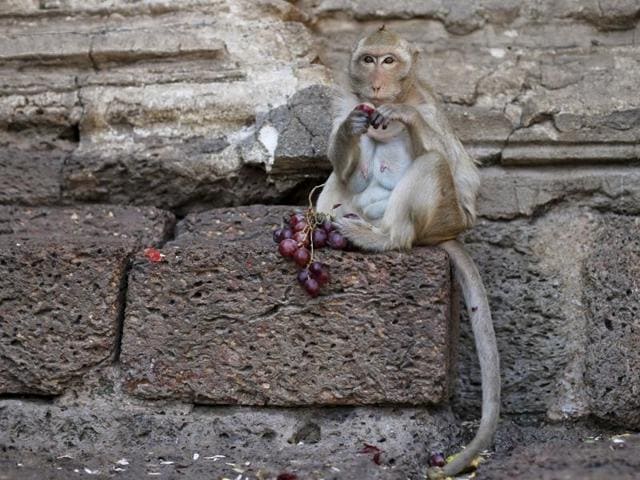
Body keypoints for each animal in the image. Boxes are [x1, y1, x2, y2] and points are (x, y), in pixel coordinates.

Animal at [316, 26, 500, 479]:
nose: (377, 83)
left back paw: (386, 239)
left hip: (442, 219)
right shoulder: (345, 102)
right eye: (368, 60)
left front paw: (404, 118)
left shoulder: (429, 106)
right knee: (337, 183)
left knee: (433, 163)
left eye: (389, 61)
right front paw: (352, 128)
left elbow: (460, 172)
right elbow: (344, 163)